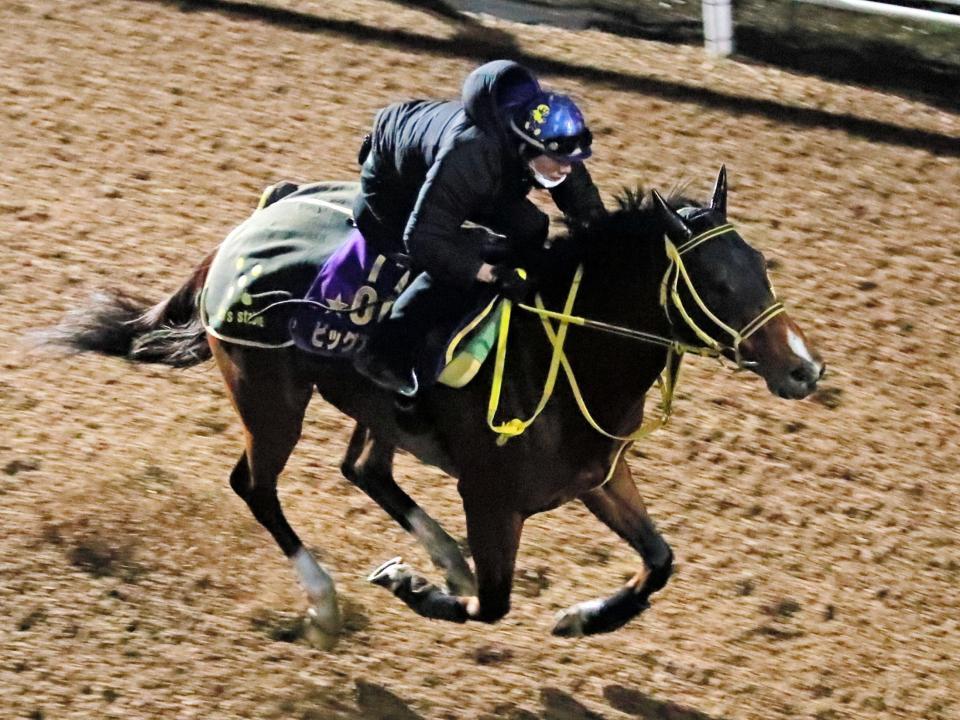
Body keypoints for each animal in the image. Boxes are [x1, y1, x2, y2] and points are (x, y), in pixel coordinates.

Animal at [43, 166, 824, 644]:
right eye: (716, 284)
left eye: (760, 267)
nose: (805, 368)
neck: (565, 353)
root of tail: (247, 227)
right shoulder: (492, 498)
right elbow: (493, 603)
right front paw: (406, 583)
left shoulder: (598, 476)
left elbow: (660, 559)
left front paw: (579, 617)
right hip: (269, 396)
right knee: (256, 486)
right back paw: (327, 603)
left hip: (371, 409)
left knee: (363, 468)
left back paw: (445, 557)